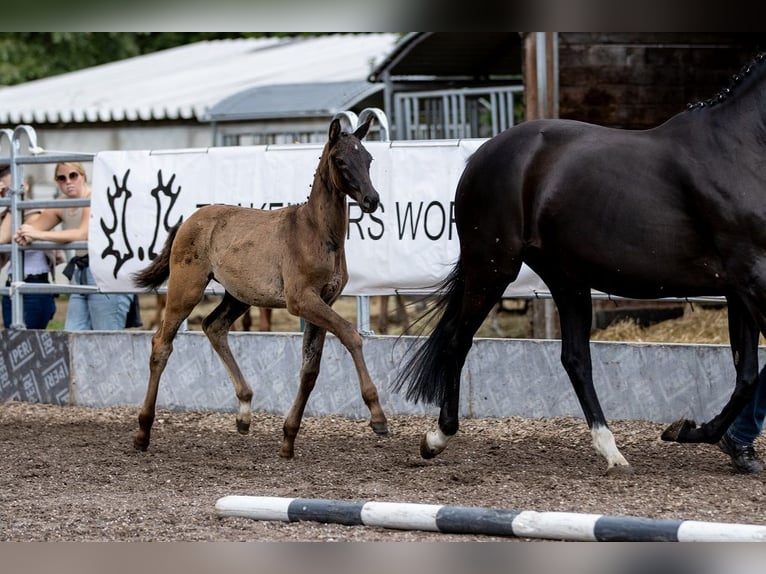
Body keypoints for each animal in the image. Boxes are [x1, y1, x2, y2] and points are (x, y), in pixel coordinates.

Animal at [131, 117, 390, 460]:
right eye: (340, 160)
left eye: (369, 159)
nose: (372, 200)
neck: (316, 232)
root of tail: (187, 220)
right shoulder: (302, 301)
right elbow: (351, 335)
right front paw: (377, 416)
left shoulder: (325, 301)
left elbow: (310, 370)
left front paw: (288, 439)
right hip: (186, 289)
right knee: (162, 343)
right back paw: (142, 432)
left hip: (238, 296)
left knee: (213, 326)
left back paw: (244, 411)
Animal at [396, 54, 766, 476]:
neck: (739, 147)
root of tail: (481, 155)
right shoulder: (753, 279)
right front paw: (690, 431)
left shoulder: (740, 289)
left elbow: (746, 375)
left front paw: (703, 436)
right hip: (492, 267)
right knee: (459, 339)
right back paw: (436, 438)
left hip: (566, 279)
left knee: (575, 358)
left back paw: (611, 450)